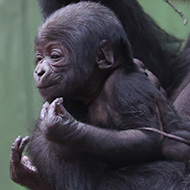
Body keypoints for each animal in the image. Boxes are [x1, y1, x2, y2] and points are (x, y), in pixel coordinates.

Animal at [10, 1, 190, 190]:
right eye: (39, 58)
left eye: (55, 56)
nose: (39, 71)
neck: (100, 83)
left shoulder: (124, 86)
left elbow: (146, 137)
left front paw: (65, 128)